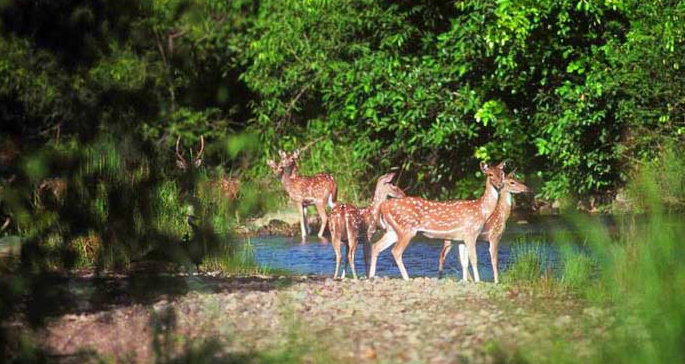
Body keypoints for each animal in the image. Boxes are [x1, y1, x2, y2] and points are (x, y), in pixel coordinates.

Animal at [368, 161, 508, 282]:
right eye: (490, 174)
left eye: (502, 174)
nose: (500, 185)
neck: (482, 210)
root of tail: (383, 206)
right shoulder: (471, 233)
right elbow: (474, 259)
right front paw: (478, 281)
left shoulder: (460, 238)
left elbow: (464, 262)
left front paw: (466, 281)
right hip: (407, 229)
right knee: (396, 251)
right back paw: (407, 278)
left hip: (392, 231)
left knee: (376, 246)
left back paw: (371, 276)